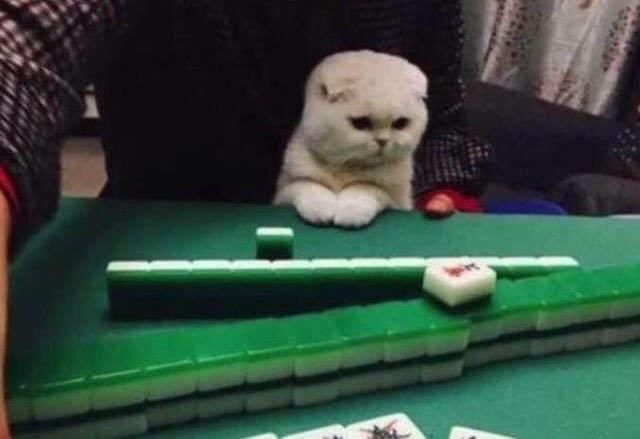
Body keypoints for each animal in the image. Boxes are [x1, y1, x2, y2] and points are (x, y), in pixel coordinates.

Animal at [274, 50, 429, 228]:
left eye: (400, 123)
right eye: (360, 123)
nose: (382, 141)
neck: (346, 167)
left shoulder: (396, 200)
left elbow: (364, 187)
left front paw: (350, 211)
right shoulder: (283, 193)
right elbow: (308, 185)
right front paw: (321, 208)